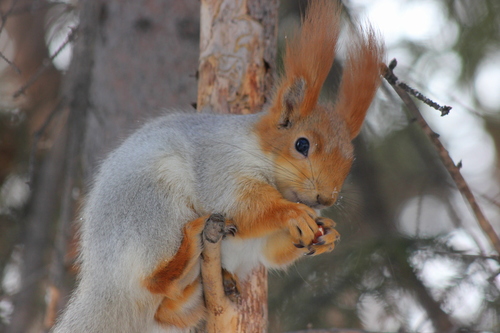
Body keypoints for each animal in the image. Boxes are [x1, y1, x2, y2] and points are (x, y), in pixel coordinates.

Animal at [53, 0, 382, 330]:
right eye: (302, 144)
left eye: (350, 160)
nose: (325, 199)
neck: (259, 151)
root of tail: (101, 282)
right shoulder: (220, 168)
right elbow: (243, 205)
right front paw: (291, 213)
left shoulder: (258, 245)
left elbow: (271, 252)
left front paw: (329, 233)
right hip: (151, 212)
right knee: (153, 280)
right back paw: (184, 255)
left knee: (166, 310)